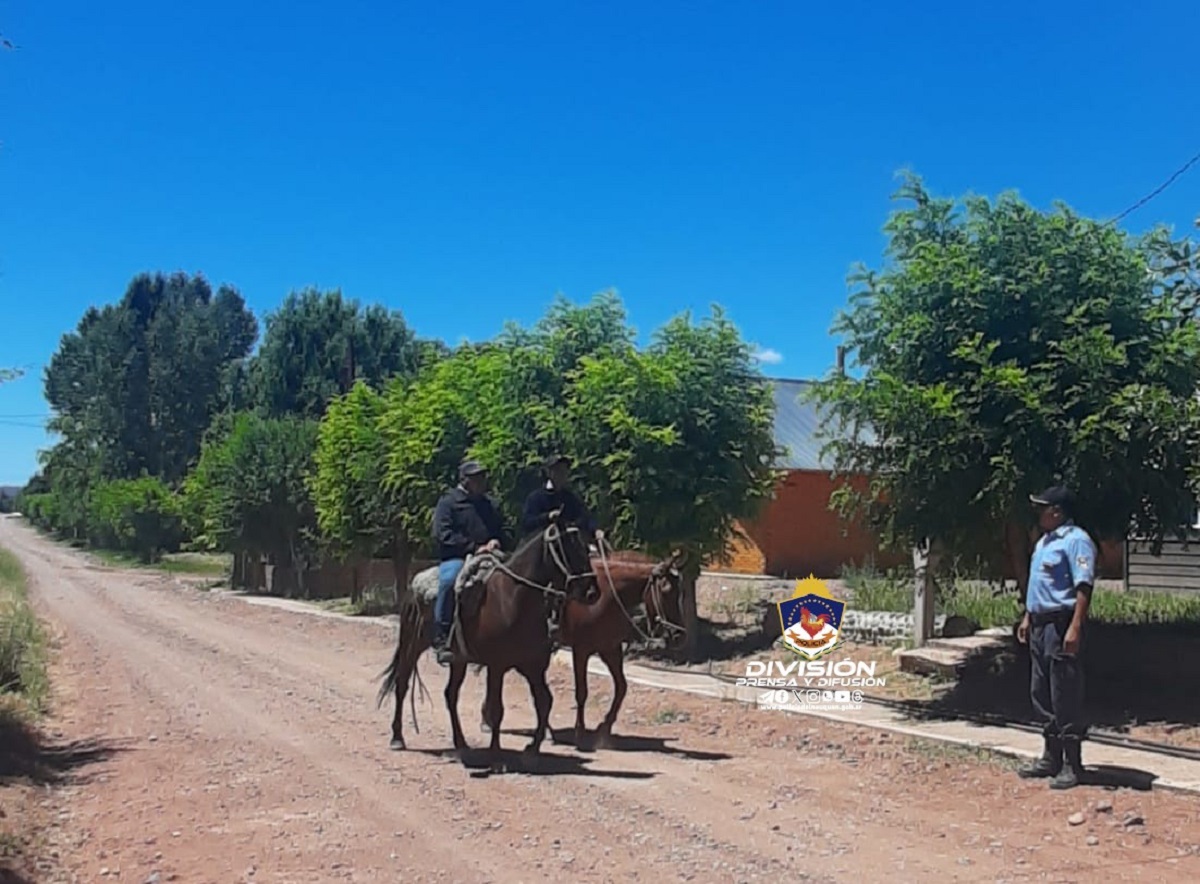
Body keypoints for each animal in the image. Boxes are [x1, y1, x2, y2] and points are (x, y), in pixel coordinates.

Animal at [374, 513, 595, 767]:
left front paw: (531, 750)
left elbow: (544, 702)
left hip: (458, 660)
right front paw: (497, 756)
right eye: (565, 545)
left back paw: (461, 744)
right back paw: (397, 737)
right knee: (402, 684)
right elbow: (497, 709)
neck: (512, 599)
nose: (592, 591)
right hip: (412, 645)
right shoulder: (497, 665)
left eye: (586, 546)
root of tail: (414, 587)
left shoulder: (532, 666)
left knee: (450, 695)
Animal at [477, 549, 686, 748]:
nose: (679, 635)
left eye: (680, 592)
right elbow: (582, 692)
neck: (608, 594)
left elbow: (621, 687)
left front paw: (604, 729)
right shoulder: (582, 650)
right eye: (666, 590)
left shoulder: (610, 649)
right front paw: (580, 732)